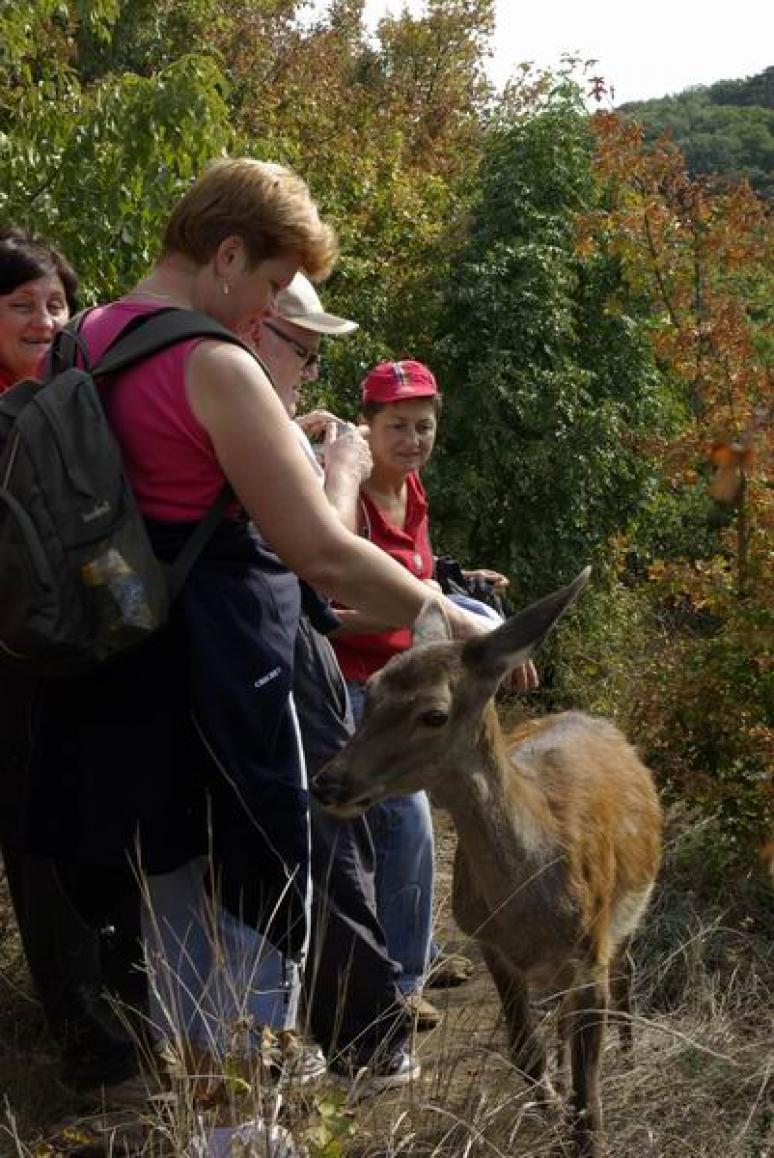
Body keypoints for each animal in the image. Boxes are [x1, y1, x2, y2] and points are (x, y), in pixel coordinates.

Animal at [315, 572, 658, 1158]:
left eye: (434, 713)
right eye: (372, 692)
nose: (327, 782)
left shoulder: (590, 948)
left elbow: (590, 1101)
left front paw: (586, 1127)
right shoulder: (491, 944)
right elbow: (524, 1051)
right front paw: (549, 1111)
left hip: (628, 912)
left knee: (627, 975)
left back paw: (632, 1056)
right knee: (563, 1017)